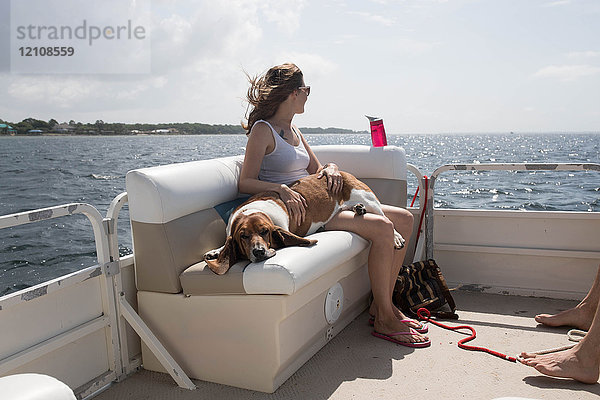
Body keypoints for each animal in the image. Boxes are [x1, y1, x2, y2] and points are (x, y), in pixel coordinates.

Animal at [204, 172, 406, 276]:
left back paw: (395, 236)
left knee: (387, 220)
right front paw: (216, 251)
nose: (259, 252)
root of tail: (343, 172)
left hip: (369, 200)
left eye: (265, 232)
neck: (253, 211)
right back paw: (358, 209)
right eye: (243, 236)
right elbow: (225, 244)